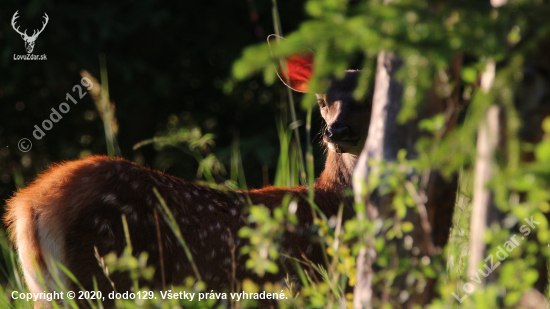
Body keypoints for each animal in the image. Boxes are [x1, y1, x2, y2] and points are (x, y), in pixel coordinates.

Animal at [4, 43, 374, 306]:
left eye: (372, 97)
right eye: (322, 101)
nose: (335, 131)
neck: (329, 205)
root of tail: (30, 206)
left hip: (45, 291)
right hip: (105, 275)